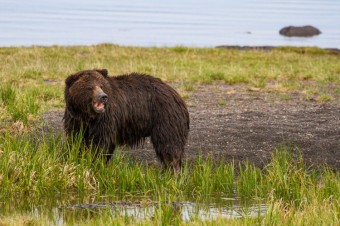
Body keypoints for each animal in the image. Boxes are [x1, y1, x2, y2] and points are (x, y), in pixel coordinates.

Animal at [62, 68, 190, 171]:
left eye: (101, 85)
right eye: (89, 87)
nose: (103, 97)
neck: (88, 115)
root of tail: (177, 96)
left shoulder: (106, 119)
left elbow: (101, 144)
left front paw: (97, 162)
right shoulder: (76, 120)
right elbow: (76, 140)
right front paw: (77, 158)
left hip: (165, 118)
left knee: (169, 146)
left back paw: (173, 171)